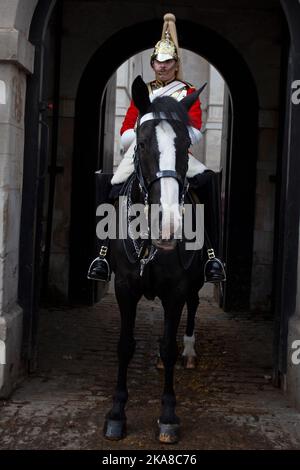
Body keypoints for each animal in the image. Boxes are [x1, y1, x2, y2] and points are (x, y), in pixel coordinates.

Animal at [104, 75, 205, 442]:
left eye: (185, 145)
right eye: (143, 143)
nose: (169, 225)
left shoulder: (176, 290)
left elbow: (168, 348)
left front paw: (168, 416)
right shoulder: (125, 287)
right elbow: (125, 345)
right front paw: (116, 413)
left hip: (196, 281)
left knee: (192, 311)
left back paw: (189, 351)